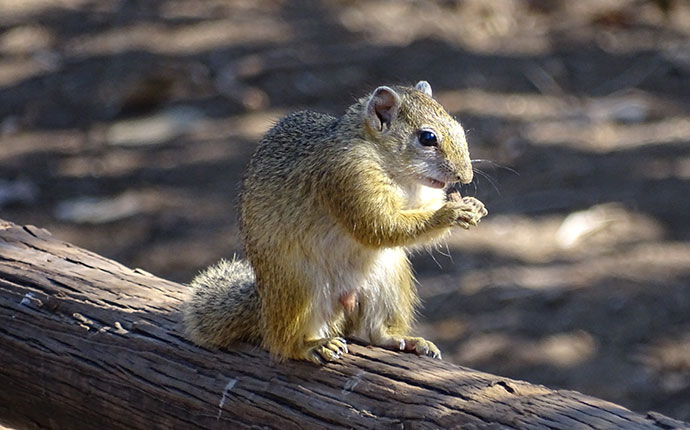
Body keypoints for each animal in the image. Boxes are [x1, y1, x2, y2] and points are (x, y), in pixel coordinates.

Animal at [180, 80, 486, 362]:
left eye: (458, 127)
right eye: (427, 137)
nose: (466, 176)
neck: (399, 174)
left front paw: (471, 206)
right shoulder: (347, 176)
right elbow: (379, 226)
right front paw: (449, 213)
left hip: (389, 280)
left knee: (375, 330)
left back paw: (404, 340)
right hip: (299, 286)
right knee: (281, 343)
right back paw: (312, 345)